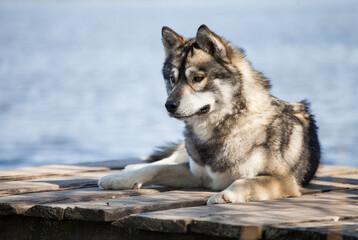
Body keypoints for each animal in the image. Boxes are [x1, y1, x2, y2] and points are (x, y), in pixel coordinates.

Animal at [98, 24, 322, 204]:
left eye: (197, 78)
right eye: (172, 79)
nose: (169, 105)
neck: (222, 129)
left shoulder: (283, 180)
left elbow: (245, 181)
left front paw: (224, 195)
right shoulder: (196, 174)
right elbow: (156, 168)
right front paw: (118, 179)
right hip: (185, 151)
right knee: (166, 159)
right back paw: (129, 168)